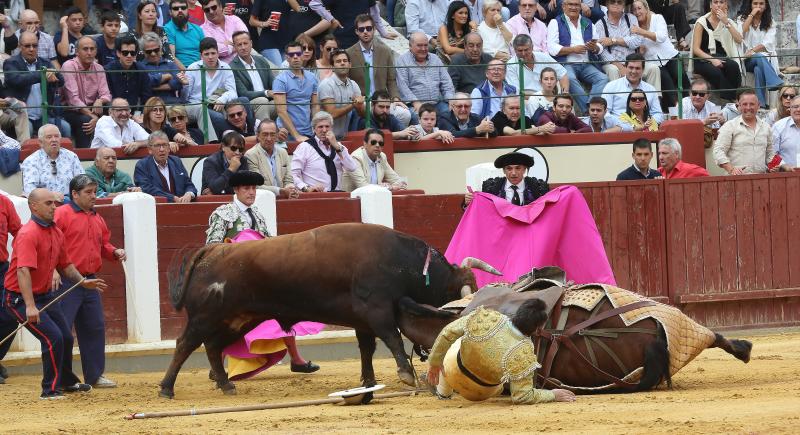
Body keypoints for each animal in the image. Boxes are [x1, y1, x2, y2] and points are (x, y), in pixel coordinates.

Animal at [158, 223, 500, 400]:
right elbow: (391, 338)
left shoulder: (363, 319)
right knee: (185, 344)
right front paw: (405, 375)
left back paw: (226, 384)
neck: (403, 263)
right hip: (206, 316)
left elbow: (366, 348)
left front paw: (367, 381)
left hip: (238, 319)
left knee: (213, 346)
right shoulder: (376, 309)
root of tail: (213, 249)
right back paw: (167, 388)